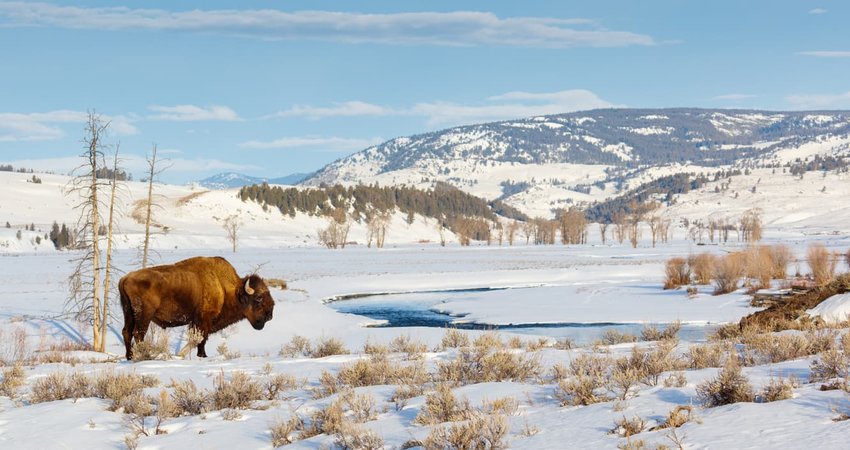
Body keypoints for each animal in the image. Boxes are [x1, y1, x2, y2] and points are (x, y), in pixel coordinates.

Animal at [119, 256, 274, 358]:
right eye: (258, 299)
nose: (270, 315)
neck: (224, 288)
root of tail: (125, 278)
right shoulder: (204, 319)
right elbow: (200, 339)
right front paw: (200, 356)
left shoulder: (197, 321)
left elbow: (198, 339)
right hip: (144, 315)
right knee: (138, 334)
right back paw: (144, 355)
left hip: (128, 312)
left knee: (127, 332)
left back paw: (129, 357)